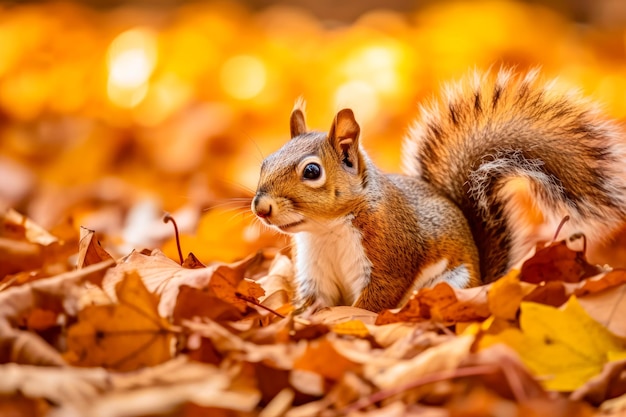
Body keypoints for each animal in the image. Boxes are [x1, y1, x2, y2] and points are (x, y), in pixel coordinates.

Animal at [249, 68, 624, 310]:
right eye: (265, 162)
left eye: (312, 171)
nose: (261, 207)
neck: (327, 231)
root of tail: (484, 281)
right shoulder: (315, 271)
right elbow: (315, 303)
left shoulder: (391, 254)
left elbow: (372, 302)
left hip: (451, 282)